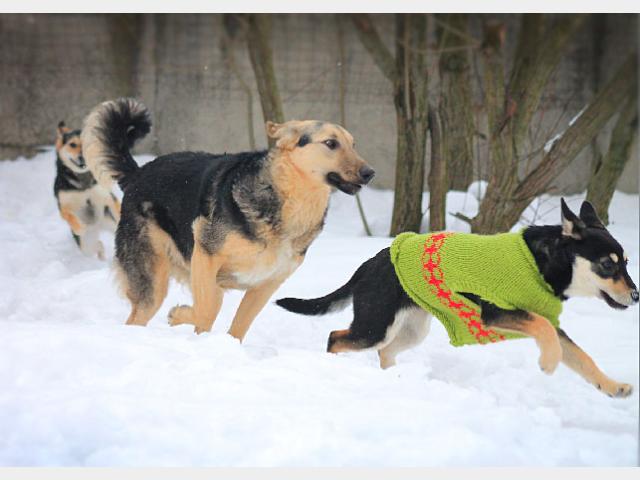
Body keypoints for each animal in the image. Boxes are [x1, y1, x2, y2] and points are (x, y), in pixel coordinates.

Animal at [54, 122, 120, 260]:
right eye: (72, 144)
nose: (83, 157)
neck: (82, 178)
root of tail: (99, 227)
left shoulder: (108, 197)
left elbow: (117, 207)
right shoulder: (63, 206)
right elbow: (69, 216)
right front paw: (78, 227)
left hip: (109, 223)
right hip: (86, 245)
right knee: (98, 245)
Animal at [82, 96, 372, 342]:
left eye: (353, 145)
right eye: (331, 143)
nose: (370, 173)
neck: (287, 198)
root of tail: (138, 173)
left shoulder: (266, 284)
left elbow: (238, 326)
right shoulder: (205, 254)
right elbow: (209, 308)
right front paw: (181, 317)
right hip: (152, 281)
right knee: (140, 315)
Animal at [278, 199, 640, 398]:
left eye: (626, 262)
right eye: (608, 264)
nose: (636, 296)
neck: (543, 263)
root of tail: (369, 263)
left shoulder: (549, 324)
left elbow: (582, 358)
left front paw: (612, 387)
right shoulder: (497, 312)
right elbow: (543, 329)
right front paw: (548, 362)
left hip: (411, 329)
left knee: (385, 352)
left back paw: (393, 379)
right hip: (374, 326)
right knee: (335, 337)